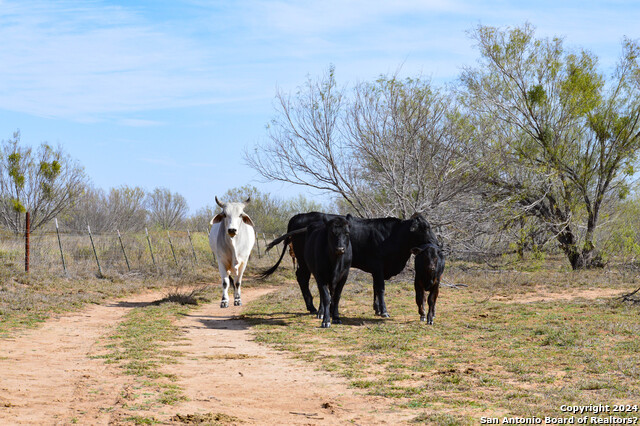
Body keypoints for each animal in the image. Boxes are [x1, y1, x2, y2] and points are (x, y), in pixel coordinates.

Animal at [262, 211, 438, 318]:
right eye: (425, 227)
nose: (437, 243)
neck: (391, 235)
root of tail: (299, 216)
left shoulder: (376, 270)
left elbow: (375, 288)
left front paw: (376, 309)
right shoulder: (379, 267)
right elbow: (381, 288)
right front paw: (384, 311)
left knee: (302, 278)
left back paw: (312, 307)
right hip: (305, 261)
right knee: (303, 278)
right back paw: (313, 308)